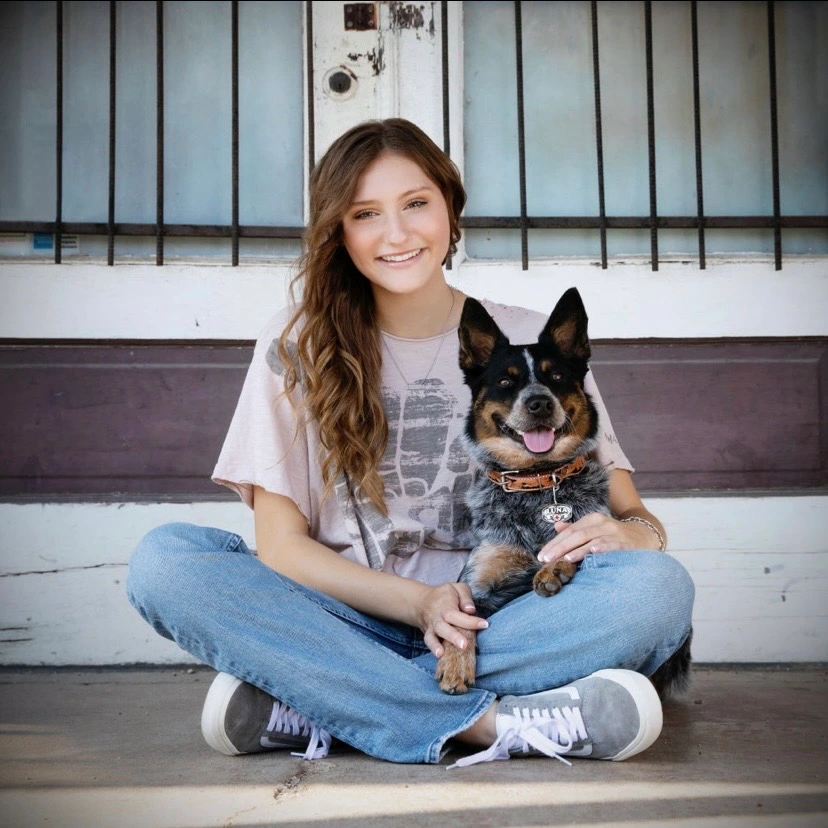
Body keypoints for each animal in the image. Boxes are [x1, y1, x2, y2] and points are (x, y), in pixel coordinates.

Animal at [434, 288, 692, 700]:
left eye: (555, 376)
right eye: (505, 382)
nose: (539, 402)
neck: (538, 482)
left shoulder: (590, 528)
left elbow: (573, 549)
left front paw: (553, 565)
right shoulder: (480, 579)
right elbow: (461, 619)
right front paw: (456, 663)